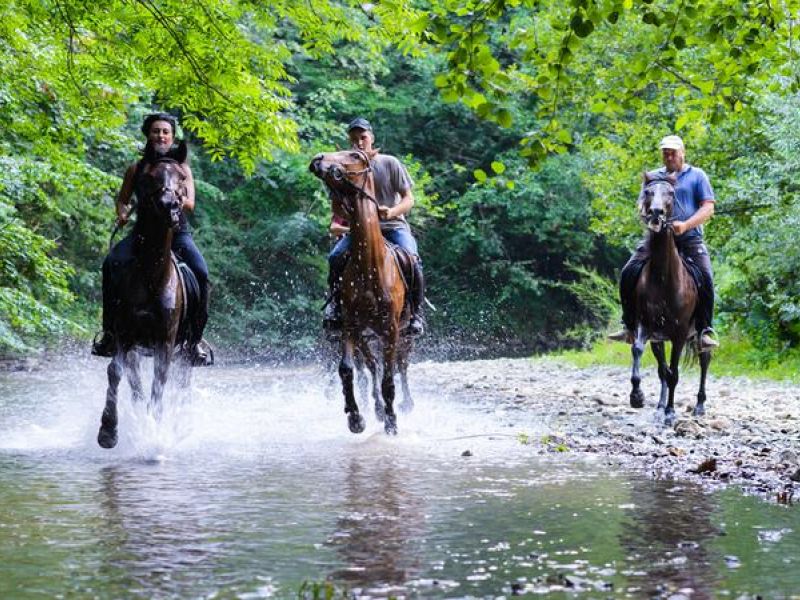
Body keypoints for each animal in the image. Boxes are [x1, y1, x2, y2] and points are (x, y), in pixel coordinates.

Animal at [310, 149, 414, 435]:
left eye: (354, 155)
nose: (318, 159)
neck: (371, 267)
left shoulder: (391, 328)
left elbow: (389, 376)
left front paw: (391, 421)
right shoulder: (351, 325)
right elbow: (348, 369)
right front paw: (356, 417)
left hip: (404, 333)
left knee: (401, 366)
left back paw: (405, 404)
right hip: (365, 335)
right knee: (371, 366)